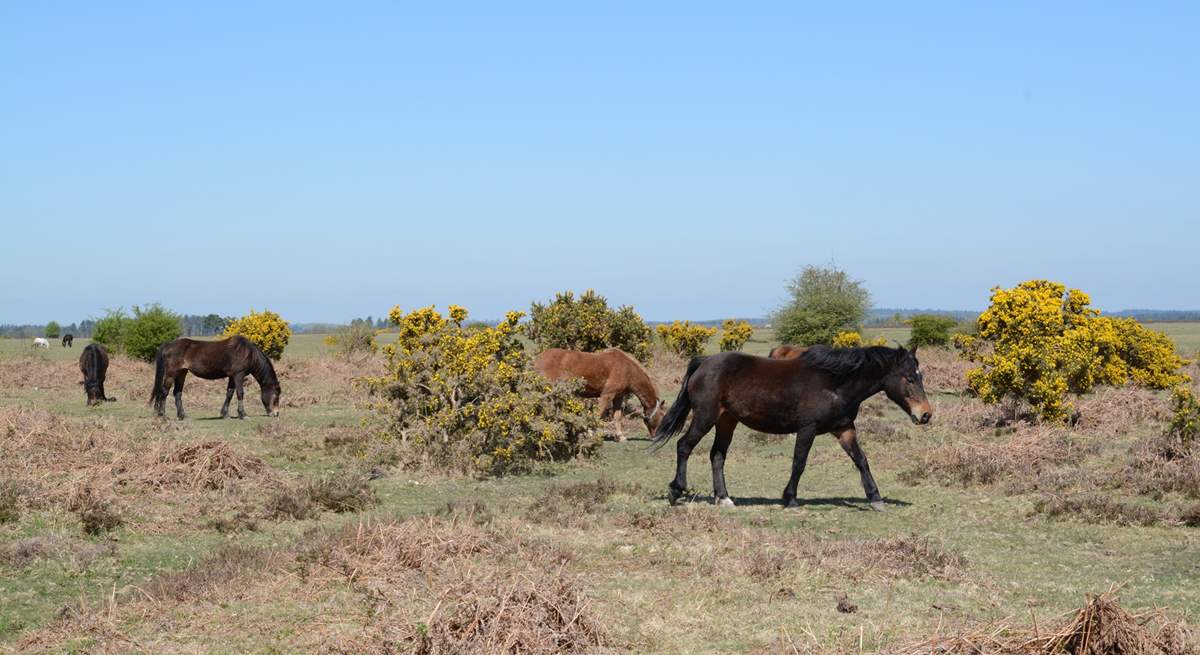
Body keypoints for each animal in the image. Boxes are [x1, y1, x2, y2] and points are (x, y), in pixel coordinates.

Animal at [148, 333, 279, 419]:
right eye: (276, 395)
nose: (276, 413)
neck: (247, 353)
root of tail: (168, 345)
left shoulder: (232, 377)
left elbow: (229, 393)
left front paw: (225, 414)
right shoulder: (238, 375)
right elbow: (240, 393)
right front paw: (243, 414)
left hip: (182, 373)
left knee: (177, 393)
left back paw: (182, 415)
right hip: (171, 373)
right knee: (164, 391)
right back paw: (162, 415)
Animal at [535, 345, 667, 439]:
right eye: (662, 416)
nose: (656, 436)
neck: (627, 369)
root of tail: (537, 359)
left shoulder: (618, 397)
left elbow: (617, 416)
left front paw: (620, 437)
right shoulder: (607, 395)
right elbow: (598, 414)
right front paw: (590, 432)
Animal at [652, 343, 931, 506]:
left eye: (920, 376)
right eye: (909, 378)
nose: (926, 414)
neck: (835, 383)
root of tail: (704, 362)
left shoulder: (843, 428)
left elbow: (861, 460)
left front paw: (876, 498)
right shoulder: (808, 428)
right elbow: (799, 462)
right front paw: (790, 498)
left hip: (727, 420)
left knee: (717, 455)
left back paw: (724, 498)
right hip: (705, 417)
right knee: (684, 446)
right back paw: (676, 491)